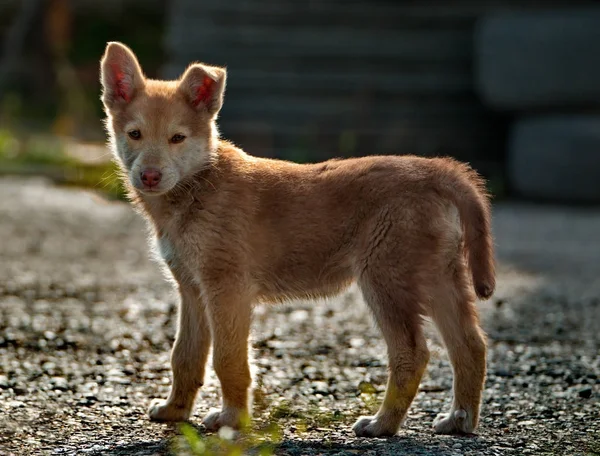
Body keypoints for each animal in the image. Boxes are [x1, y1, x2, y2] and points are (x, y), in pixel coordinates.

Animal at [99, 42, 492, 438]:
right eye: (134, 134)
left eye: (177, 138)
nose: (149, 176)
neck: (199, 185)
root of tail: (436, 171)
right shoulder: (192, 291)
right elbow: (185, 356)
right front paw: (175, 411)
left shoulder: (228, 290)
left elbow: (228, 360)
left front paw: (232, 419)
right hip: (439, 278)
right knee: (470, 346)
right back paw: (459, 419)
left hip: (387, 282)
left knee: (413, 354)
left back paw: (383, 424)